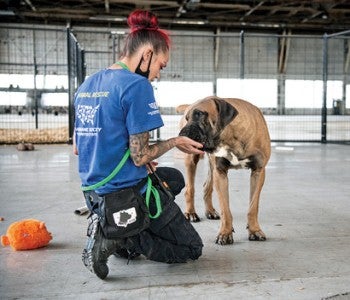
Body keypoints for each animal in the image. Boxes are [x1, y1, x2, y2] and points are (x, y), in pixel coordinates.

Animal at [178, 97, 270, 245]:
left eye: (200, 114)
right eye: (187, 118)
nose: (182, 134)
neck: (231, 138)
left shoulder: (258, 171)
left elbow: (253, 206)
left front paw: (255, 230)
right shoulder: (220, 173)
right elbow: (225, 209)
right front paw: (225, 233)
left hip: (211, 166)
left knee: (207, 187)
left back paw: (210, 211)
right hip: (192, 160)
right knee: (189, 189)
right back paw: (191, 213)